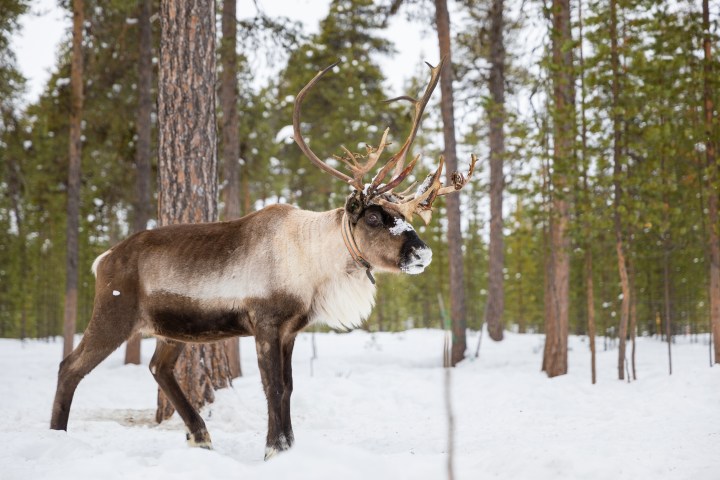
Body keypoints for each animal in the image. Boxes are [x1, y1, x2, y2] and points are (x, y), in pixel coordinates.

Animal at [50, 58, 476, 460]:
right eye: (373, 217)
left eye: (402, 214)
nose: (422, 252)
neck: (313, 260)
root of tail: (104, 258)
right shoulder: (265, 323)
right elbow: (272, 387)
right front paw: (273, 449)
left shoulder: (291, 330)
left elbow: (288, 387)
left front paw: (288, 446)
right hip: (114, 313)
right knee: (70, 366)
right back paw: (57, 436)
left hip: (172, 328)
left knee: (159, 368)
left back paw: (201, 436)